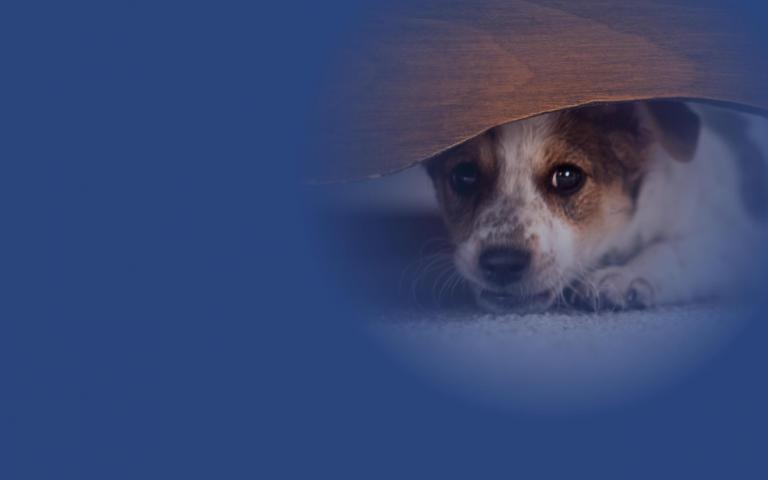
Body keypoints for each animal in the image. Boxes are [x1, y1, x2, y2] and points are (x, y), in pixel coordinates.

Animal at [426, 99, 768, 314]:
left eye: (567, 177)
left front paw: (625, 276)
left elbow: (676, 250)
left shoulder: (737, 237)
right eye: (464, 175)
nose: (501, 263)